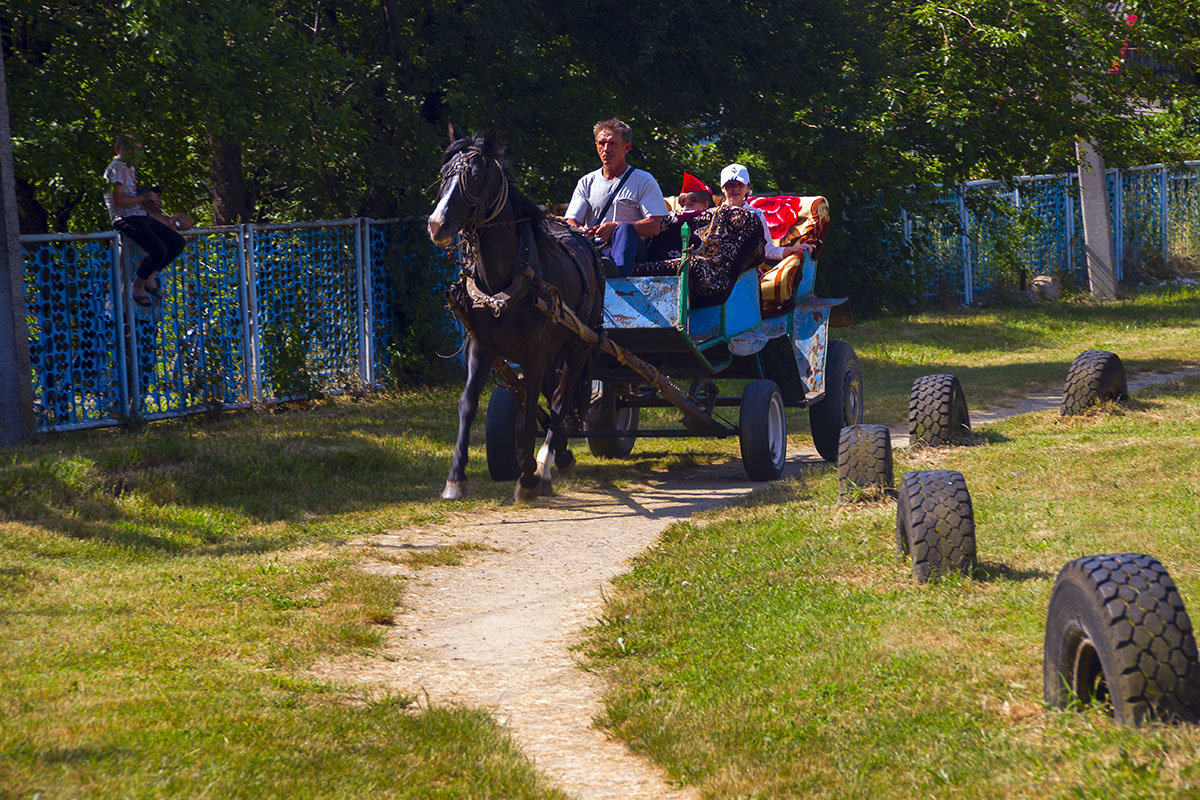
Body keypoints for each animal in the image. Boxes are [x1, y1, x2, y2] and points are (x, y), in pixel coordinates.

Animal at [427, 124, 604, 501]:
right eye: (444, 174)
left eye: (475, 175)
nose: (437, 225)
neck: (503, 280)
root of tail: (585, 239)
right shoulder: (482, 346)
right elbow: (468, 405)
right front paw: (455, 478)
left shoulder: (535, 351)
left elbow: (528, 415)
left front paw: (526, 478)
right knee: (552, 394)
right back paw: (560, 455)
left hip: (579, 343)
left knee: (561, 397)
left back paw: (546, 463)